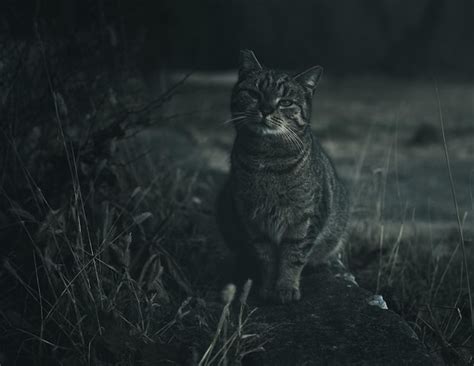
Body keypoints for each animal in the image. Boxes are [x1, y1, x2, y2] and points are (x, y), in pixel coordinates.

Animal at [218, 50, 348, 304]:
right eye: (254, 93)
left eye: (285, 101)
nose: (266, 109)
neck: (266, 159)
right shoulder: (252, 220)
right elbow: (266, 258)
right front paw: (268, 287)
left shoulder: (304, 218)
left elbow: (293, 257)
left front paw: (286, 287)